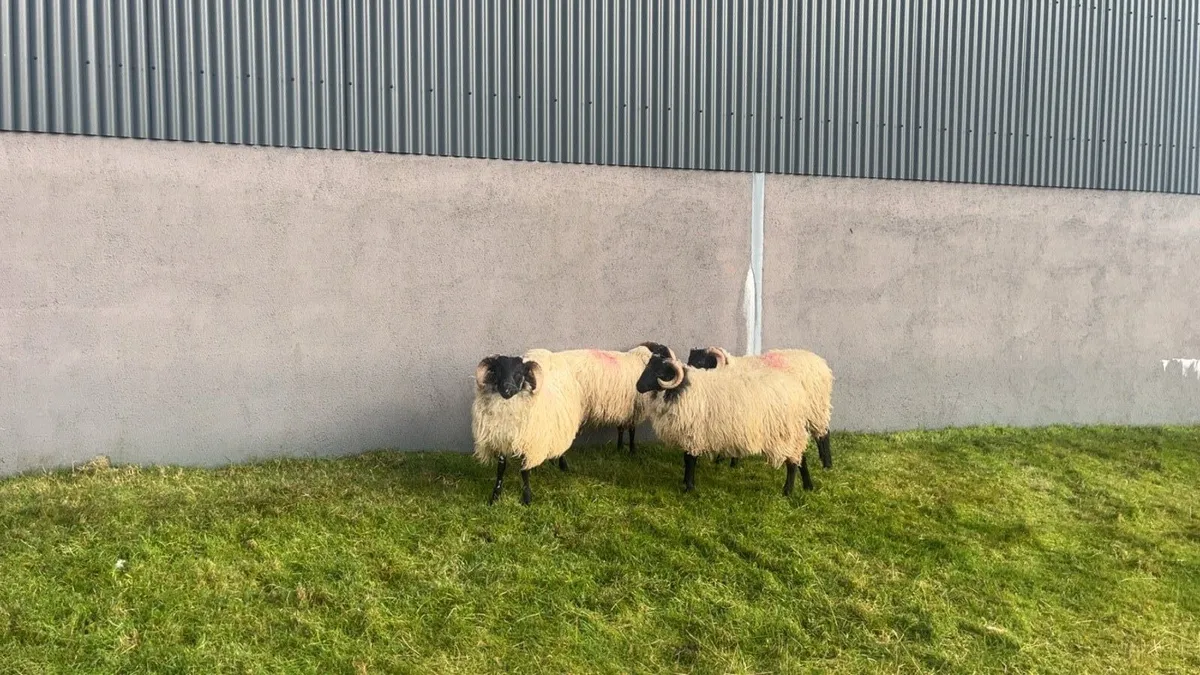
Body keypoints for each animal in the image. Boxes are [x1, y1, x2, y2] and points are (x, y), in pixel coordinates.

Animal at [472, 350, 583, 506]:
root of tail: (549, 353)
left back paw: (562, 465)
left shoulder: (528, 442)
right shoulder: (501, 440)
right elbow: (500, 469)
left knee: (561, 448)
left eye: (519, 373)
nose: (507, 389)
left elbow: (524, 471)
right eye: (497, 371)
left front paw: (526, 498)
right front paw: (495, 497)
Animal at [537, 341, 675, 454]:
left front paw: (619, 449)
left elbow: (621, 428)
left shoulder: (623, 408)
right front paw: (632, 451)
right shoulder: (634, 408)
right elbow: (632, 430)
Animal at [635, 354, 816, 496]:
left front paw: (689, 487)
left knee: (793, 462)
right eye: (647, 368)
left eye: (659, 373)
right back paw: (808, 486)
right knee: (801, 457)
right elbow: (688, 460)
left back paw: (787, 492)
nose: (638, 387)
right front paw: (686, 483)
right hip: (793, 433)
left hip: (785, 434)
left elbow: (690, 460)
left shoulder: (693, 434)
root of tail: (798, 391)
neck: (681, 389)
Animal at [688, 346, 834, 470]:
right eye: (689, 360)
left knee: (824, 435)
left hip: (817, 409)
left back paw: (827, 464)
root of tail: (819, 361)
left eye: (701, 362)